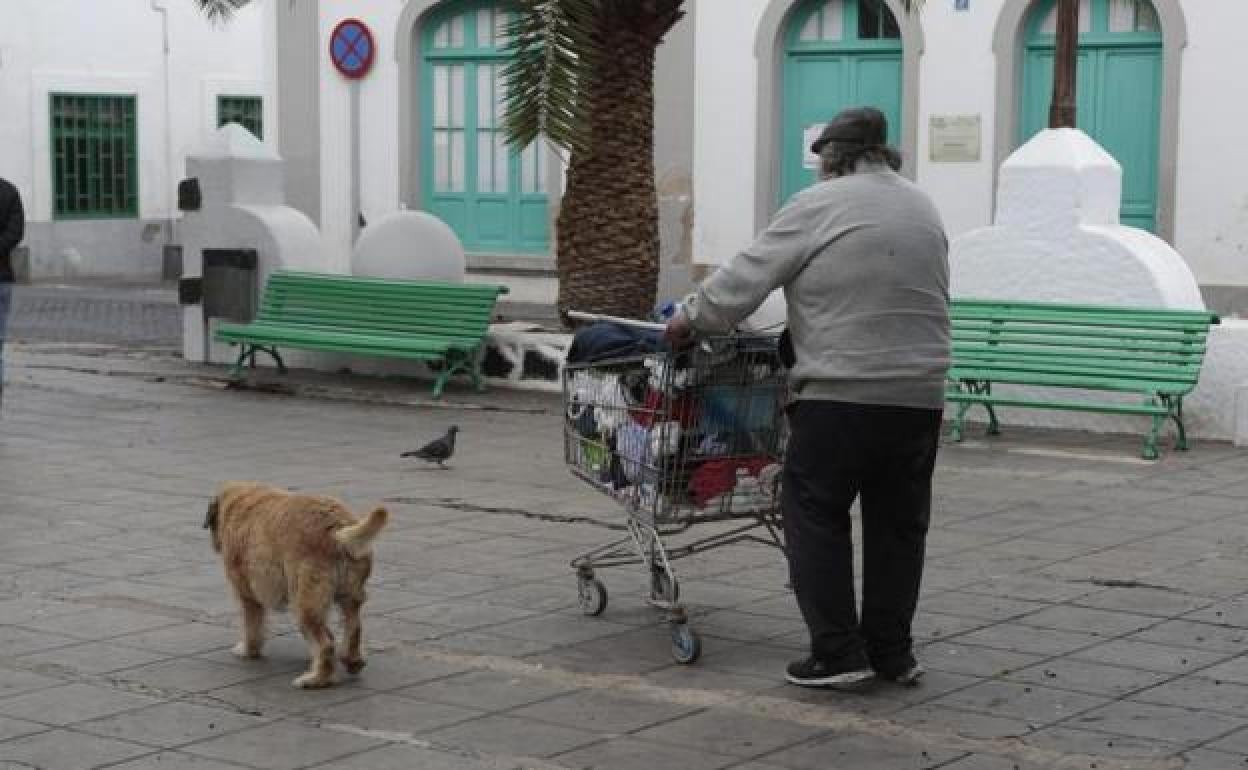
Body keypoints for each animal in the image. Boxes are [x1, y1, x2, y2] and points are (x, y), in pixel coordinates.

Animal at [202, 484, 386, 688]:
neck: (239, 501)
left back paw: (317, 678)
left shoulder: (247, 595)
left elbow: (252, 626)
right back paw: (352, 661)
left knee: (326, 643)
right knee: (354, 628)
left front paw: (248, 650)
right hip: (349, 596)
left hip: (304, 603)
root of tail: (338, 531)